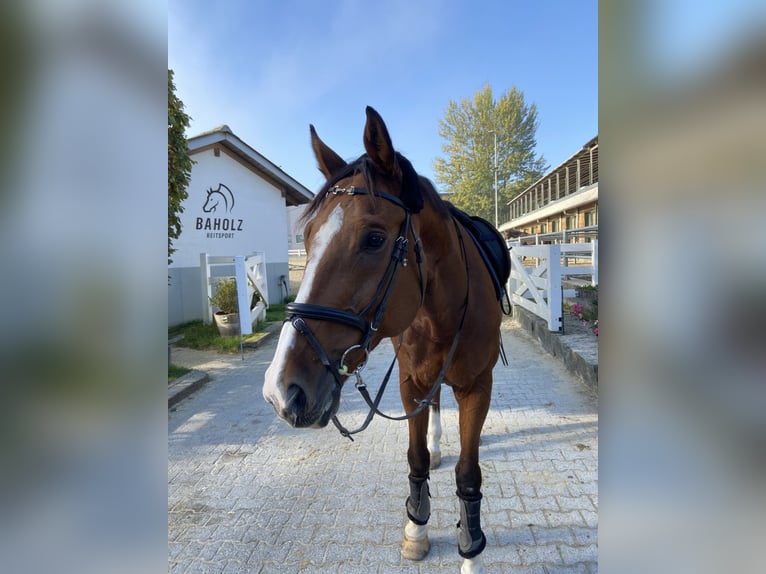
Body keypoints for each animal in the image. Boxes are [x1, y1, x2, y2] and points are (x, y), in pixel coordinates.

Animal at [263, 106, 508, 573]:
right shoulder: (409, 382)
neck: (439, 313)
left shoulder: (478, 387)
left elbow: (469, 474)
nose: (280, 390)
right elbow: (416, 458)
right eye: (307, 238)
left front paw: (471, 551)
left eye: (374, 239)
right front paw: (416, 528)